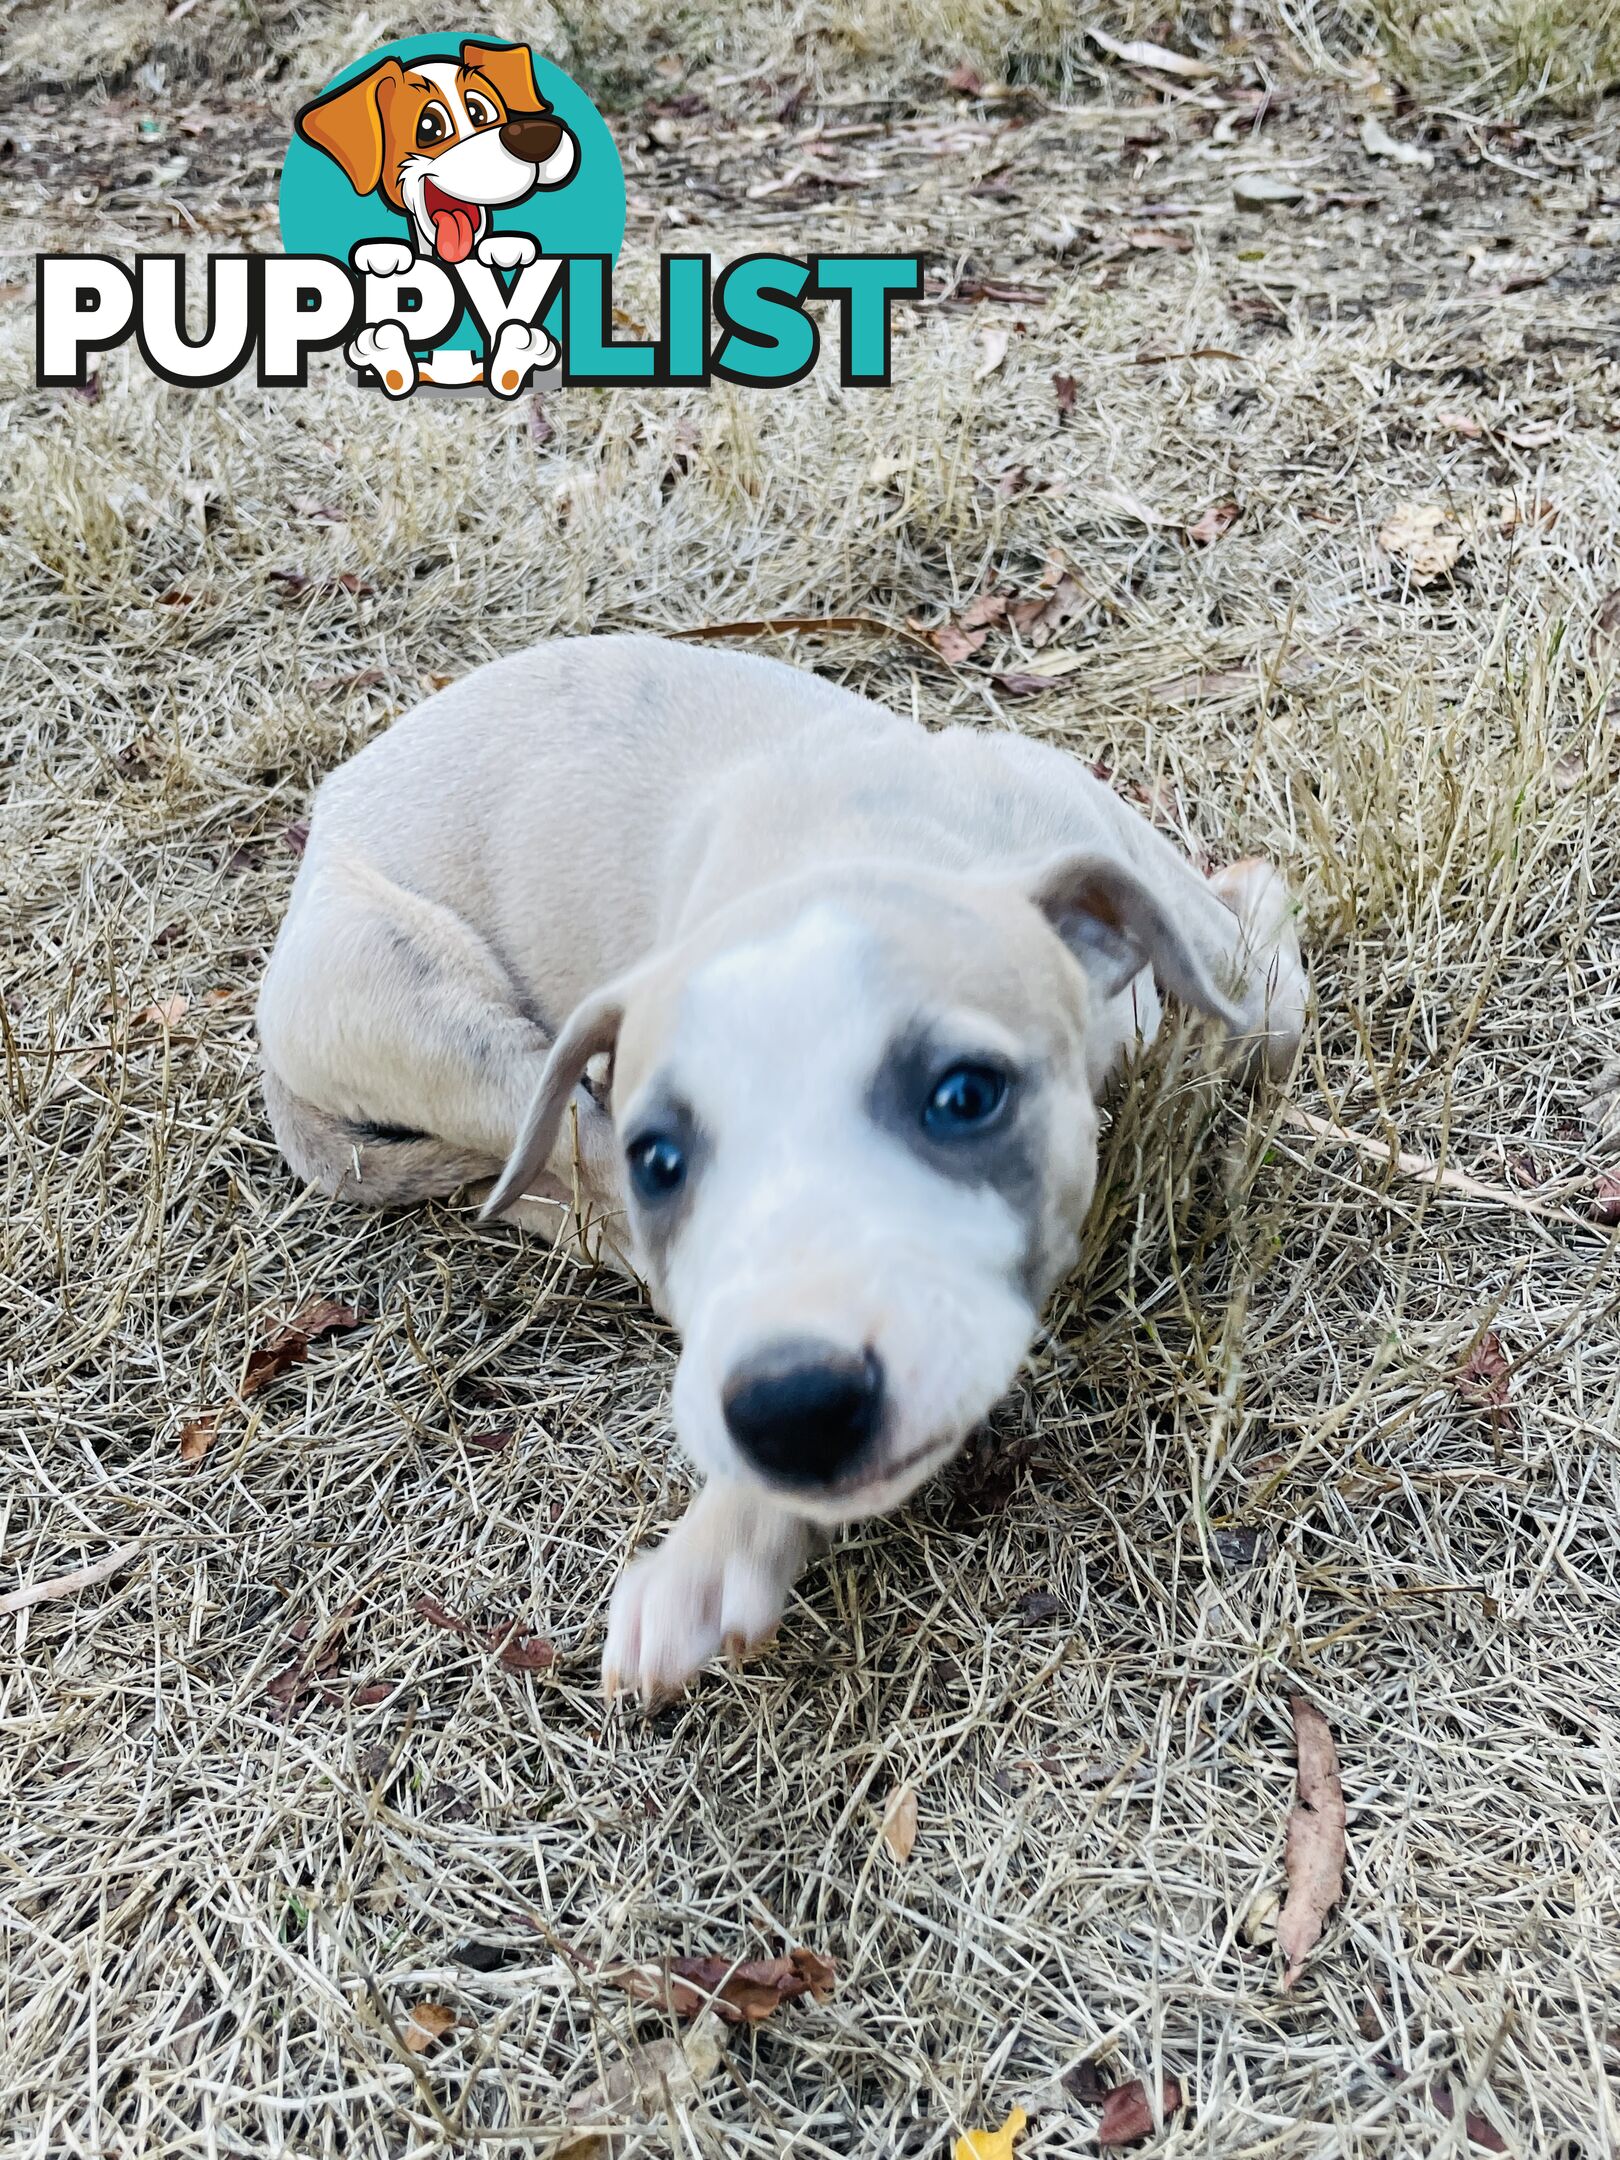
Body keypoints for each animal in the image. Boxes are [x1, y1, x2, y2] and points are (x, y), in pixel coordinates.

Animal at [260, 630, 1313, 1693]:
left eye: (964, 1097)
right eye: (665, 1161)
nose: (792, 1410)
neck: (847, 844)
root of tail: (313, 855)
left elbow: (1259, 995)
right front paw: (719, 1548)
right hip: (447, 1017)